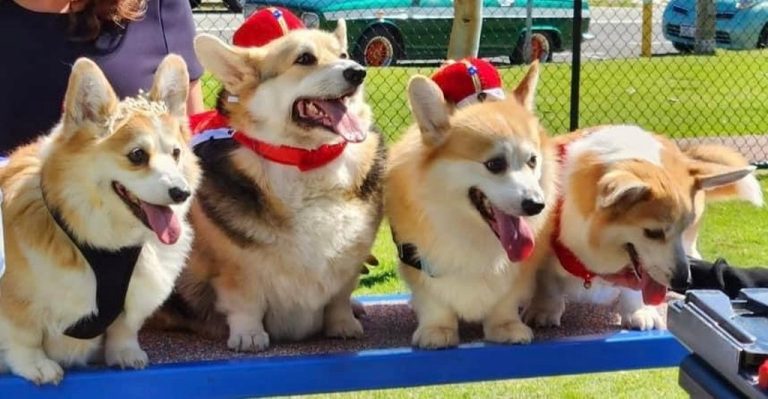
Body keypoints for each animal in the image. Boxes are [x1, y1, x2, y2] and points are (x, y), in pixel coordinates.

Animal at [0, 54, 201, 386]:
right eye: (137, 155)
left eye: (175, 153)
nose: (182, 193)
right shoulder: (16, 300)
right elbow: (24, 337)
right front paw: (37, 366)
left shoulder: (134, 299)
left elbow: (125, 327)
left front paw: (125, 354)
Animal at [154, 23, 388, 352]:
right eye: (305, 58)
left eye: (343, 55)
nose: (358, 72)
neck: (307, 159)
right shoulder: (235, 271)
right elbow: (246, 303)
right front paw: (249, 336)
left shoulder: (348, 265)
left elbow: (339, 297)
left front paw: (344, 325)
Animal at [388, 61, 556, 348]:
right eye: (495, 164)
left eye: (532, 160)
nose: (536, 205)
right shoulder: (415, 260)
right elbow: (433, 301)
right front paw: (437, 330)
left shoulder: (520, 270)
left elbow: (505, 300)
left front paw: (506, 326)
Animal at [520, 126, 756, 332]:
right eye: (653, 233)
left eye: (686, 227)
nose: (683, 282)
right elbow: (547, 282)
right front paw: (544, 310)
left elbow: (633, 289)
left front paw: (638, 311)